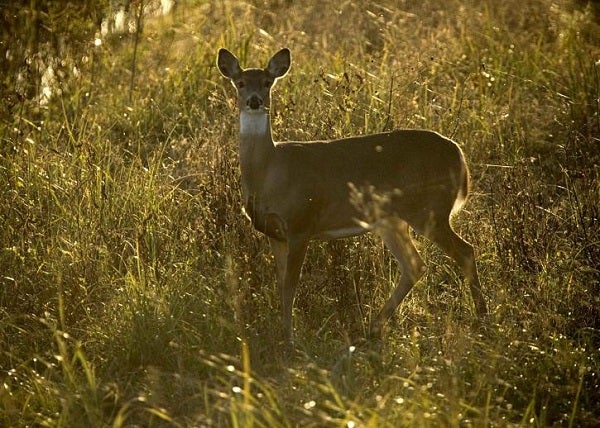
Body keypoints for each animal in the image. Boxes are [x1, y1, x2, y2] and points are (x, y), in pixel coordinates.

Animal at [217, 47, 488, 348]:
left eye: (267, 82)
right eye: (240, 83)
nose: (254, 101)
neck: (269, 171)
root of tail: (459, 154)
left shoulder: (301, 222)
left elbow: (291, 285)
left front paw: (289, 340)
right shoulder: (274, 233)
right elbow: (280, 284)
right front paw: (282, 334)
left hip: (429, 210)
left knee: (464, 251)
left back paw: (482, 319)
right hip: (392, 220)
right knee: (415, 265)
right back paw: (372, 328)